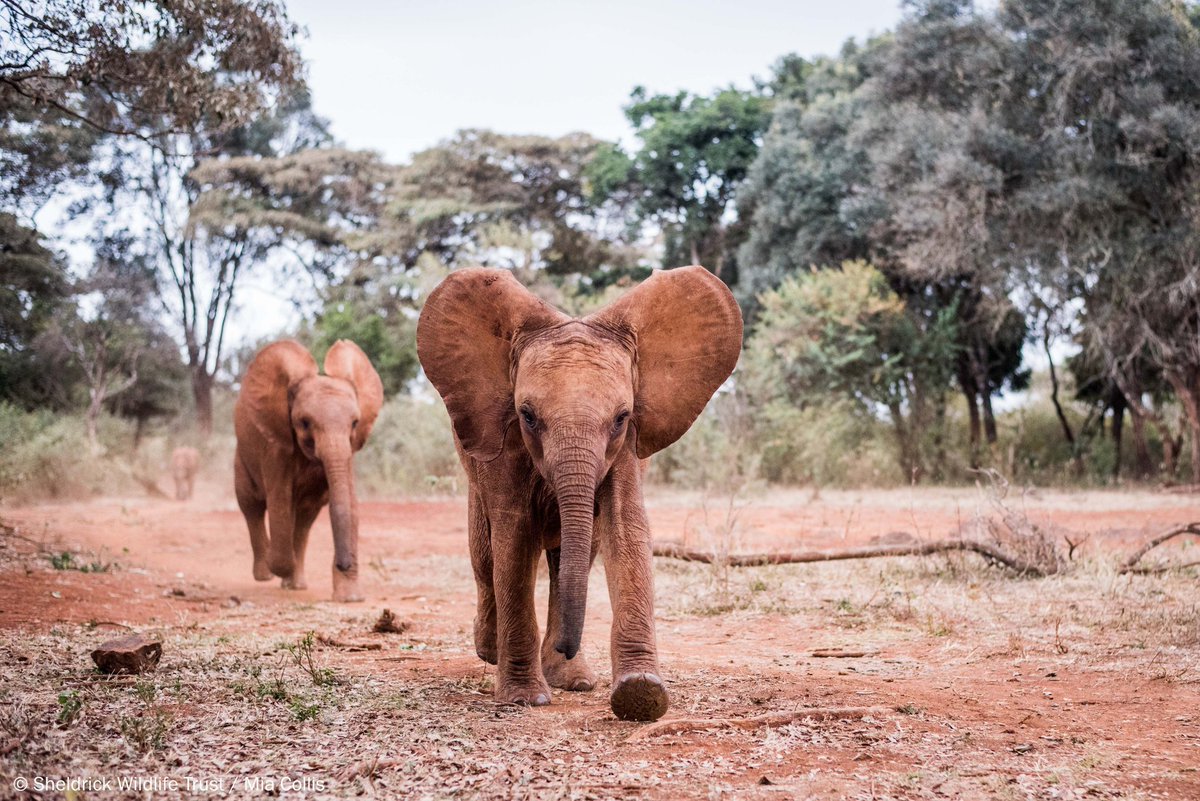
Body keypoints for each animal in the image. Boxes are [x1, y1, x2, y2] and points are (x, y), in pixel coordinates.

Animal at [233, 339, 383, 602]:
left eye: (355, 423)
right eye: (304, 423)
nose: (344, 563)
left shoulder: (348, 451)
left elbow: (349, 503)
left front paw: (350, 598)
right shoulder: (277, 446)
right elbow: (280, 500)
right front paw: (280, 566)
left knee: (305, 517)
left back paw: (295, 584)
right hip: (241, 455)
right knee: (251, 504)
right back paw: (267, 575)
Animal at [416, 265, 742, 721]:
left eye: (621, 417)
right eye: (527, 416)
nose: (566, 646)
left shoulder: (626, 448)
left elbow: (625, 528)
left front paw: (641, 695)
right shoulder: (505, 445)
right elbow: (514, 537)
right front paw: (525, 698)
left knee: (573, 557)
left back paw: (573, 679)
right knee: (484, 553)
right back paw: (491, 651)